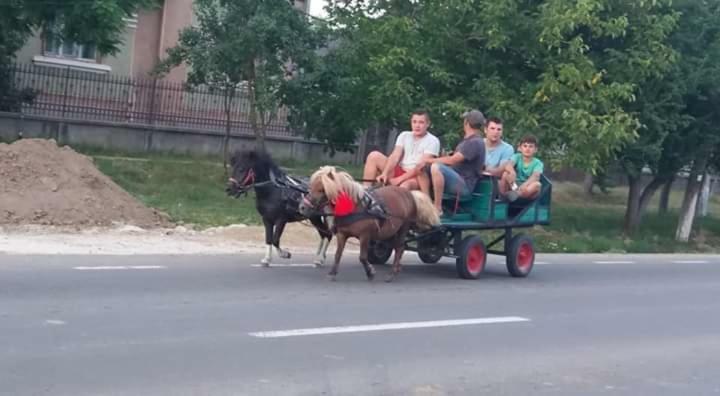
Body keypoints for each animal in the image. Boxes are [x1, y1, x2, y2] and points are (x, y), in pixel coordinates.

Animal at [298, 166, 438, 284]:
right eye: (311, 186)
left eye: (322, 190)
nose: (302, 207)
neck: (355, 207)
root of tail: (410, 193)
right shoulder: (342, 234)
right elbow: (338, 255)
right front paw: (332, 273)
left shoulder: (365, 236)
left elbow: (363, 257)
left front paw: (370, 272)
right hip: (392, 230)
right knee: (397, 247)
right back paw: (397, 268)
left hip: (404, 227)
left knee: (399, 248)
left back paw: (392, 273)